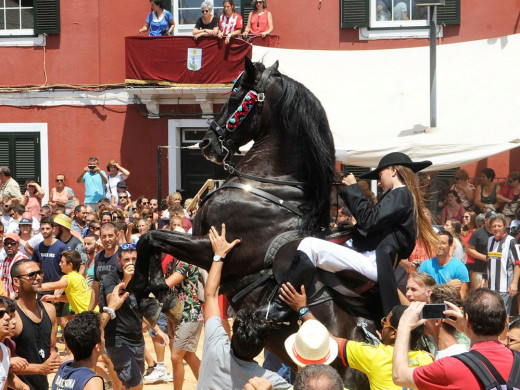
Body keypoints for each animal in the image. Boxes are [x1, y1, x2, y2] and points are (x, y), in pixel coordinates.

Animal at [129, 56, 374, 388]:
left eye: (235, 96)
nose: (206, 142)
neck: (267, 184)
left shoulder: (219, 249)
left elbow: (150, 237)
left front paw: (150, 290)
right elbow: (152, 238)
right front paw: (149, 292)